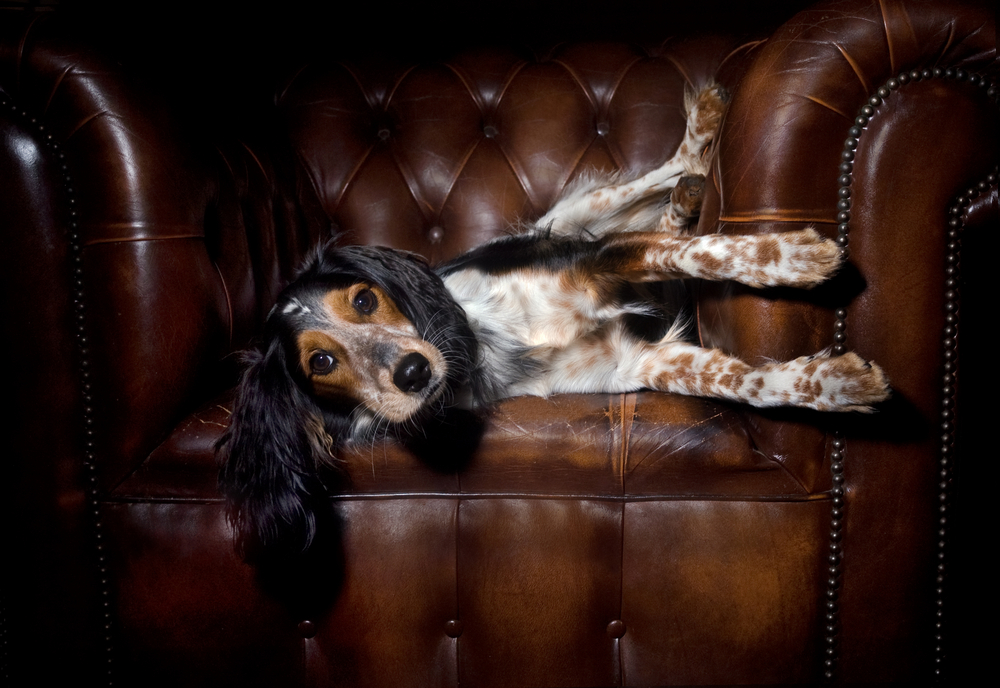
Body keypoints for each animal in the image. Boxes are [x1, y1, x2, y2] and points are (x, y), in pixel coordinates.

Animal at [219, 84, 892, 560]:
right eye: (321, 361)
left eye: (363, 301)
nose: (413, 372)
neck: (490, 343)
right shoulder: (637, 361)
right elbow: (745, 382)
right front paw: (836, 385)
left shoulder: (595, 263)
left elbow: (702, 253)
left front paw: (797, 258)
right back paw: (686, 198)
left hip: (572, 218)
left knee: (666, 173)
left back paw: (702, 132)